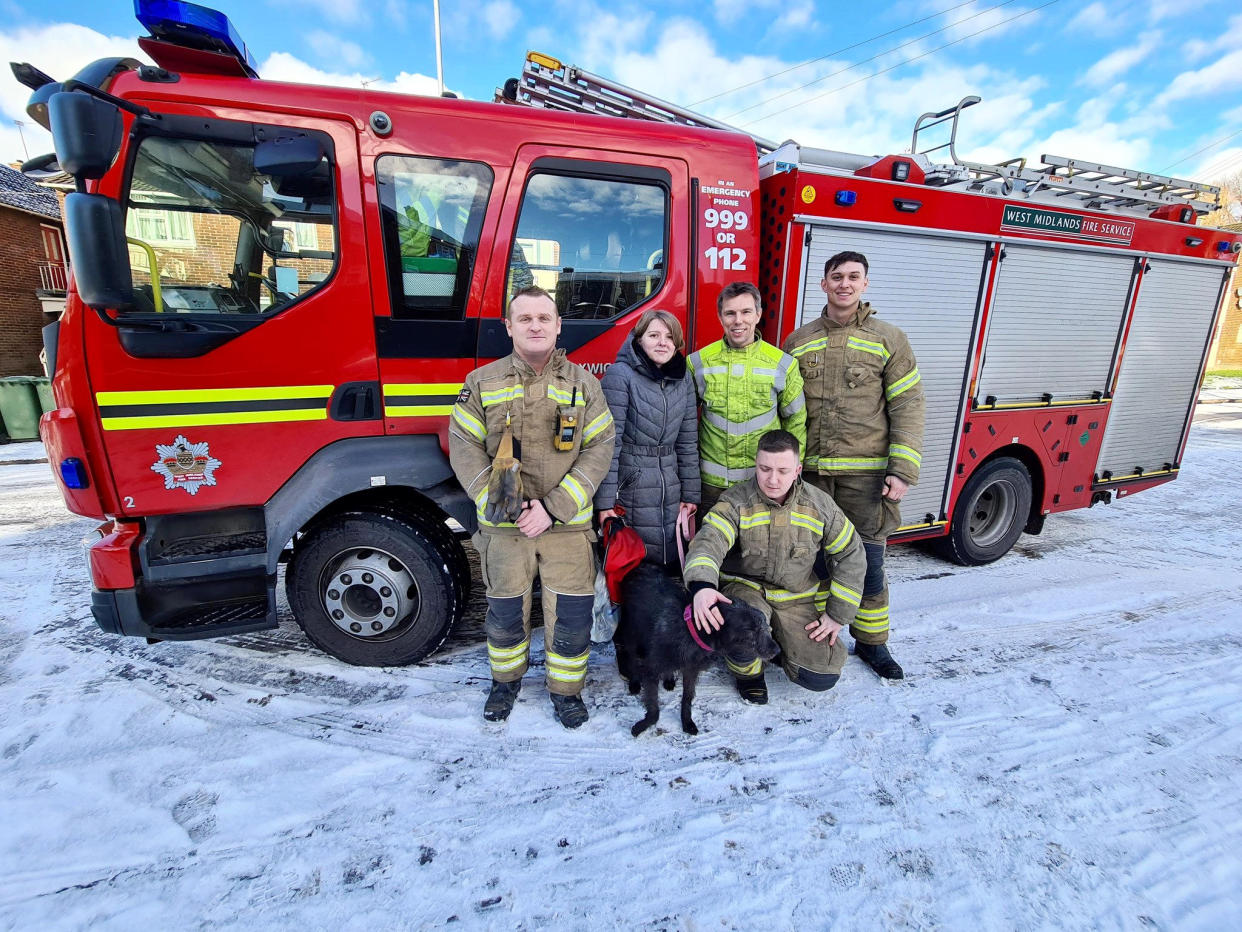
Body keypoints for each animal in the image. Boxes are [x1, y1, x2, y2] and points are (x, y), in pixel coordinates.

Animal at [613, 566, 775, 740]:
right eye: (750, 630)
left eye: (764, 624)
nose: (776, 649)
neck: (691, 633)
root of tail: (642, 566)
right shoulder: (651, 670)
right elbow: (654, 709)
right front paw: (642, 725)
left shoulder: (691, 671)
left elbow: (687, 698)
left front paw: (687, 722)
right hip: (631, 635)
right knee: (631, 658)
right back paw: (635, 683)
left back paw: (669, 680)